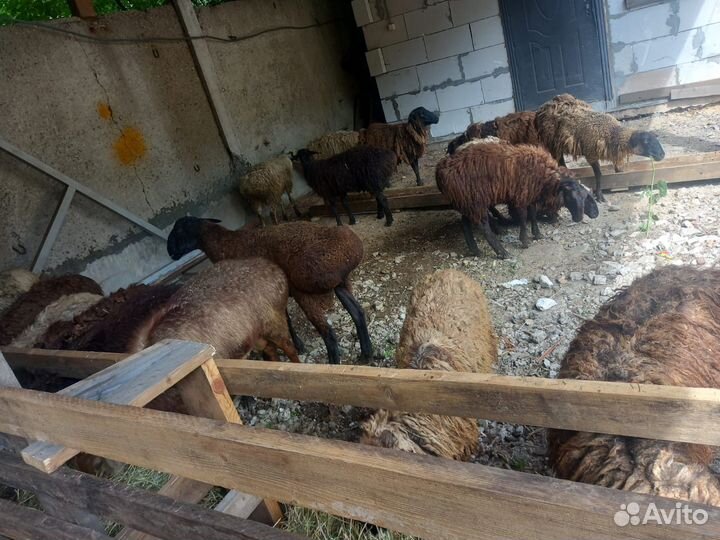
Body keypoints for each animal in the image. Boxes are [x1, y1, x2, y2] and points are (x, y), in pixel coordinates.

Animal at [166, 217, 370, 365]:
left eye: (178, 231)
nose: (170, 252)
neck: (225, 244)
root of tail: (349, 252)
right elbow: (285, 319)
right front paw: (298, 345)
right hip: (341, 283)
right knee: (358, 313)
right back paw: (367, 355)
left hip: (304, 290)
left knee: (328, 332)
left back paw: (333, 363)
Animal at [435, 142, 599, 259]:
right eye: (571, 197)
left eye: (586, 197)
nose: (594, 214)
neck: (545, 178)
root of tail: (441, 171)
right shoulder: (520, 196)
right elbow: (523, 217)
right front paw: (524, 241)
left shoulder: (530, 195)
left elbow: (532, 214)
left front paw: (537, 234)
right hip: (475, 200)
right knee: (483, 227)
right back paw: (502, 252)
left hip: (466, 201)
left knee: (465, 223)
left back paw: (475, 250)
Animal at [536, 93, 665, 202]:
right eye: (646, 141)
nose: (662, 155)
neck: (611, 132)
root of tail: (545, 105)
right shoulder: (591, 154)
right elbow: (598, 175)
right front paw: (599, 195)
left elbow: (616, 165)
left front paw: (619, 172)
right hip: (552, 143)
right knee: (559, 159)